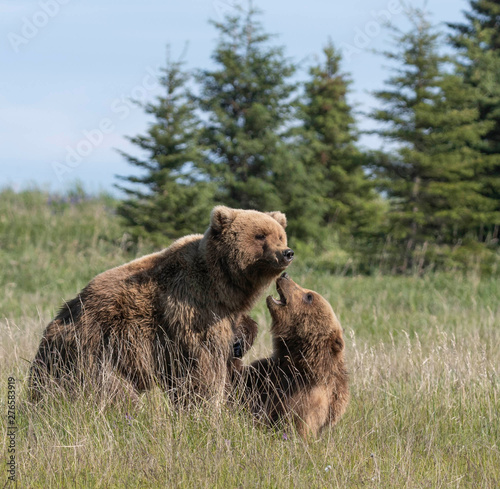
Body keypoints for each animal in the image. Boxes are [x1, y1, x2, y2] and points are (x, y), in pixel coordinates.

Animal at [28, 206, 292, 404]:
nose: (286, 252)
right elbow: (204, 367)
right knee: (114, 393)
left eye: (280, 236)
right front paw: (206, 405)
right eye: (260, 236)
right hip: (98, 350)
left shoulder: (224, 312)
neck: (222, 283)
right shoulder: (192, 307)